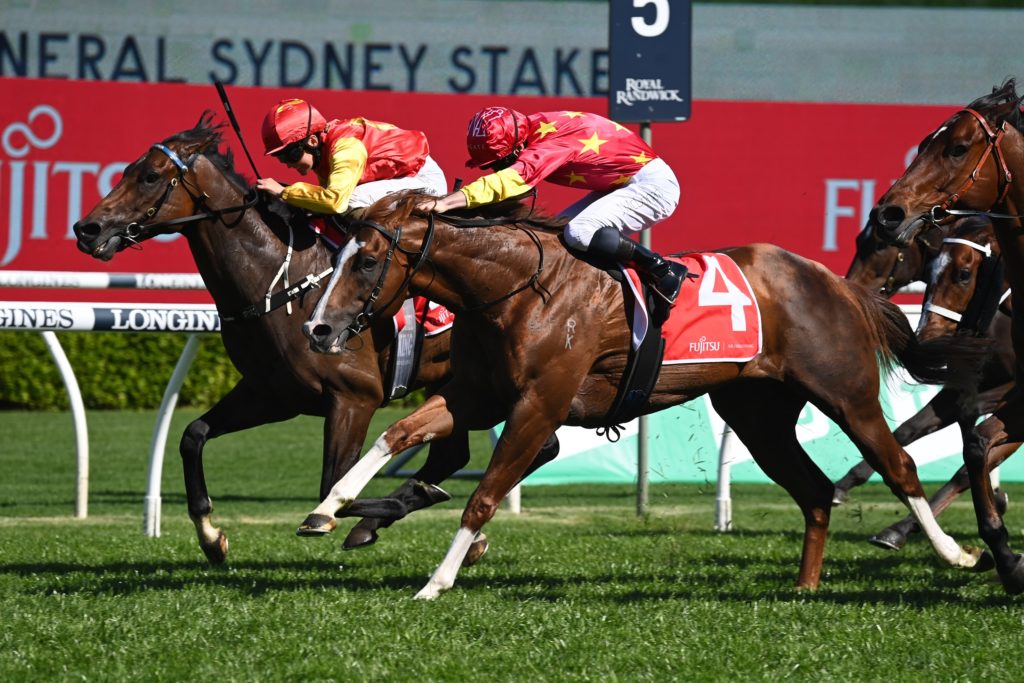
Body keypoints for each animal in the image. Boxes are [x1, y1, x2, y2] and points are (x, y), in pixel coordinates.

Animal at [70, 113, 521, 564]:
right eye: (126, 171)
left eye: (149, 176)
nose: (86, 229)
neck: (280, 285)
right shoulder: (272, 394)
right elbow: (192, 436)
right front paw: (211, 537)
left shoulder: (354, 397)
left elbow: (332, 484)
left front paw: (392, 506)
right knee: (457, 453)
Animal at [292, 190, 991, 599]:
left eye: (365, 260)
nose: (318, 329)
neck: (516, 289)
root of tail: (836, 283)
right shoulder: (477, 395)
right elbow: (396, 434)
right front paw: (326, 508)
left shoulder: (538, 406)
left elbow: (483, 497)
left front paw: (436, 583)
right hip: (758, 414)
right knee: (815, 491)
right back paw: (804, 587)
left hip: (846, 394)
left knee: (898, 466)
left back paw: (958, 554)